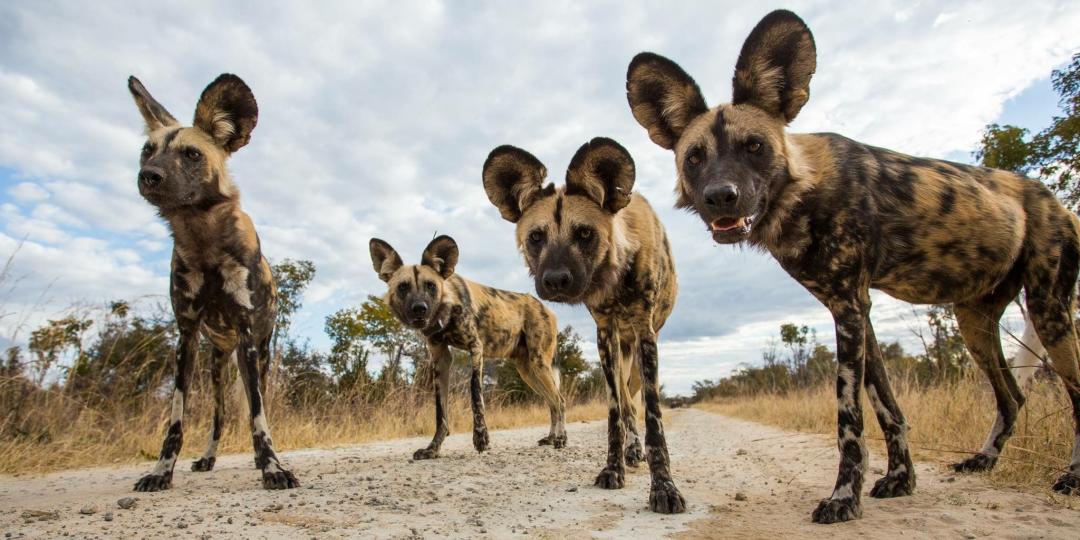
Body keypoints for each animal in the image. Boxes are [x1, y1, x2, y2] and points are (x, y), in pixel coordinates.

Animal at [127, 73, 298, 492]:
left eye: (192, 154)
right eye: (147, 150)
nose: (148, 176)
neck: (203, 238)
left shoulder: (248, 334)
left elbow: (258, 416)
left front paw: (272, 467)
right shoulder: (186, 336)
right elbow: (176, 419)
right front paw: (161, 472)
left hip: (257, 356)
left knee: (255, 403)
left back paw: (259, 459)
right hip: (217, 365)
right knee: (219, 416)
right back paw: (208, 458)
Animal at [369, 234, 565, 457]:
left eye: (430, 286)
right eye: (403, 287)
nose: (420, 308)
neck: (447, 309)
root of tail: (547, 308)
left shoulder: (476, 348)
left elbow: (475, 394)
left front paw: (481, 438)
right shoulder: (441, 359)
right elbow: (440, 412)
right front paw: (432, 448)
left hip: (539, 364)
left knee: (559, 401)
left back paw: (560, 439)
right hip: (527, 370)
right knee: (552, 402)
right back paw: (551, 438)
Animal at [481, 137, 682, 511]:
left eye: (585, 233)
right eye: (536, 237)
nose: (556, 280)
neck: (615, 275)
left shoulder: (645, 333)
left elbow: (652, 418)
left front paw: (664, 487)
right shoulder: (606, 334)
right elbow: (616, 414)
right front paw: (613, 468)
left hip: (636, 353)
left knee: (635, 401)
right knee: (626, 404)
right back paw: (632, 451)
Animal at [630, 8, 1080, 522]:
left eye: (754, 147)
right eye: (695, 157)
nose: (721, 196)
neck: (800, 195)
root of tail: (1055, 199)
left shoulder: (848, 306)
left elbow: (850, 415)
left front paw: (844, 497)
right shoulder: (857, 311)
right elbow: (887, 409)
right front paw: (900, 479)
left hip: (1047, 309)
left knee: (1075, 392)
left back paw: (1070, 478)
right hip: (974, 324)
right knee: (1012, 395)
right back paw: (983, 460)